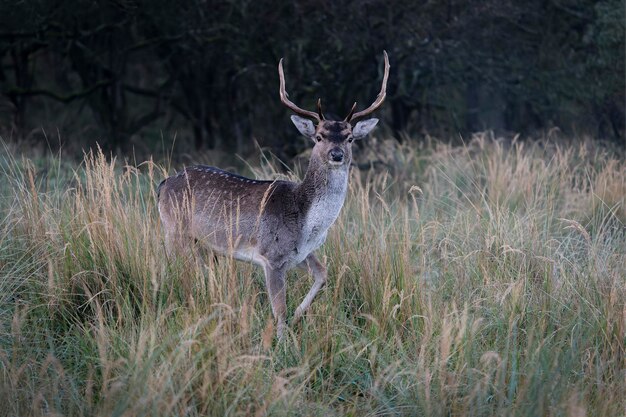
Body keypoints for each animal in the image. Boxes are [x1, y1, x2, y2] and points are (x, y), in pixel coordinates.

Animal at [156, 52, 388, 338]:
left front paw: (299, 315)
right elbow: (279, 309)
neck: (306, 221)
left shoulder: (301, 253)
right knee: (169, 267)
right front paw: (283, 342)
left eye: (350, 138)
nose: (337, 154)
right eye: (319, 136)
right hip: (174, 230)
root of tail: (163, 184)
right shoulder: (272, 255)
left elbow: (323, 274)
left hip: (204, 245)